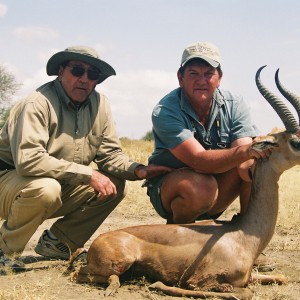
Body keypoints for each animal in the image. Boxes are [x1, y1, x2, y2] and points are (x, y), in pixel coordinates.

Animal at [67, 66, 300, 300]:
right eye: (295, 142)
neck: (242, 236)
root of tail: (97, 242)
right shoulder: (202, 281)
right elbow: (243, 293)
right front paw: (158, 285)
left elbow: (282, 278)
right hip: (120, 261)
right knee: (82, 275)